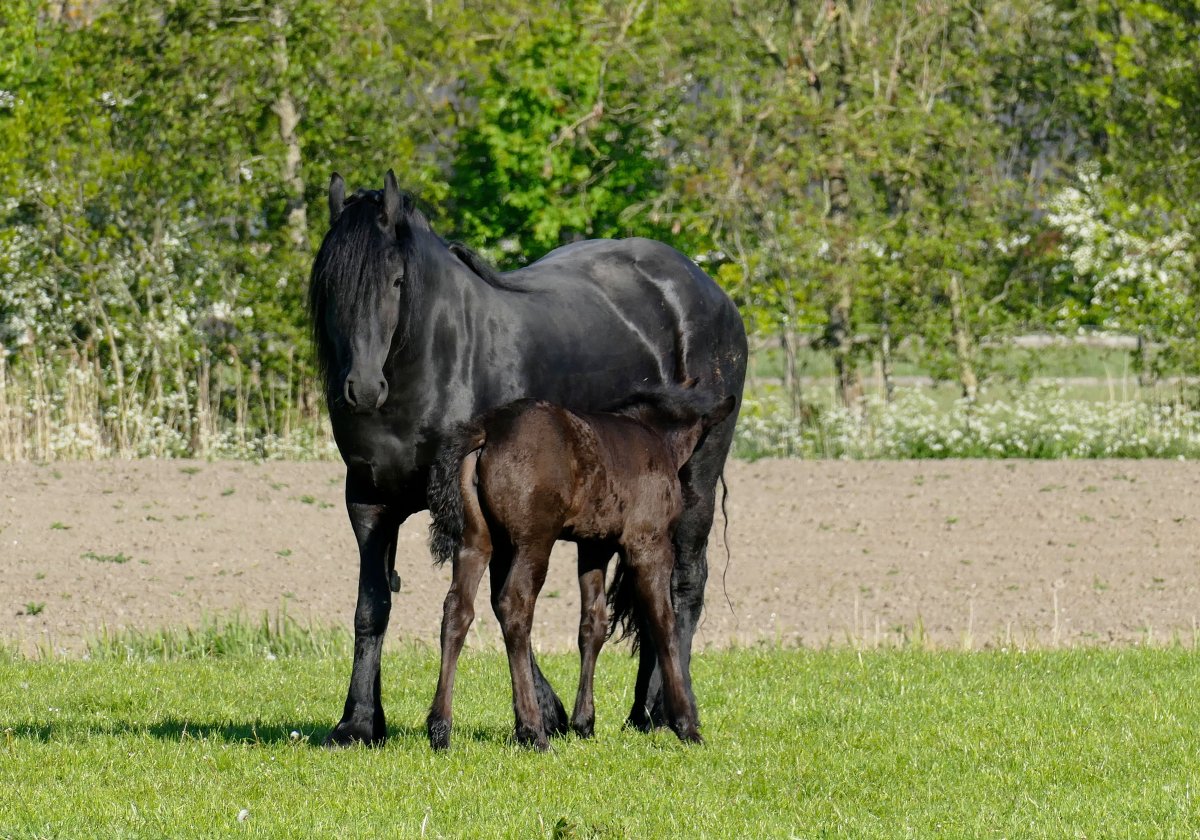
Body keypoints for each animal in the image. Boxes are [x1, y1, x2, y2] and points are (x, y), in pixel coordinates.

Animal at [427, 386, 734, 748]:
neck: (654, 436)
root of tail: (488, 431)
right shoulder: (649, 543)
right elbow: (663, 622)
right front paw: (686, 724)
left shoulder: (593, 546)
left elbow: (593, 624)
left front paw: (585, 722)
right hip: (534, 540)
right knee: (514, 606)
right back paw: (533, 731)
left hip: (477, 541)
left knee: (457, 609)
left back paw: (440, 729)